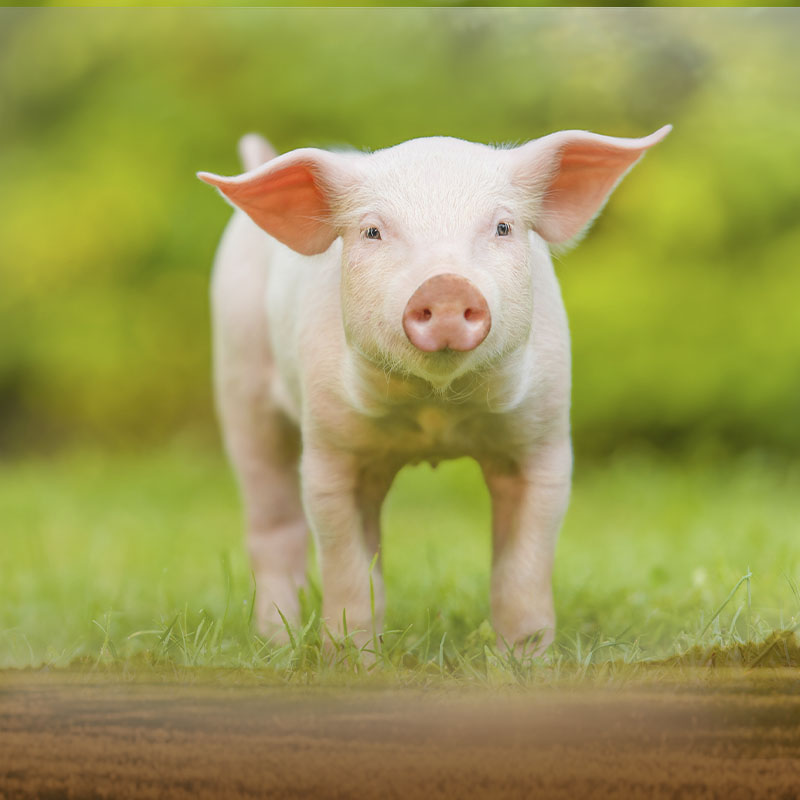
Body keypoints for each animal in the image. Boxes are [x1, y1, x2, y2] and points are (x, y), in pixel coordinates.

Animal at [198, 125, 670, 653]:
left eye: (502, 227)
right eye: (372, 231)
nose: (446, 287)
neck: (436, 412)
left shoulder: (543, 437)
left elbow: (523, 570)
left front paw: (524, 659)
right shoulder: (329, 445)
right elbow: (347, 568)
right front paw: (351, 661)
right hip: (238, 380)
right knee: (273, 524)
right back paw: (275, 643)